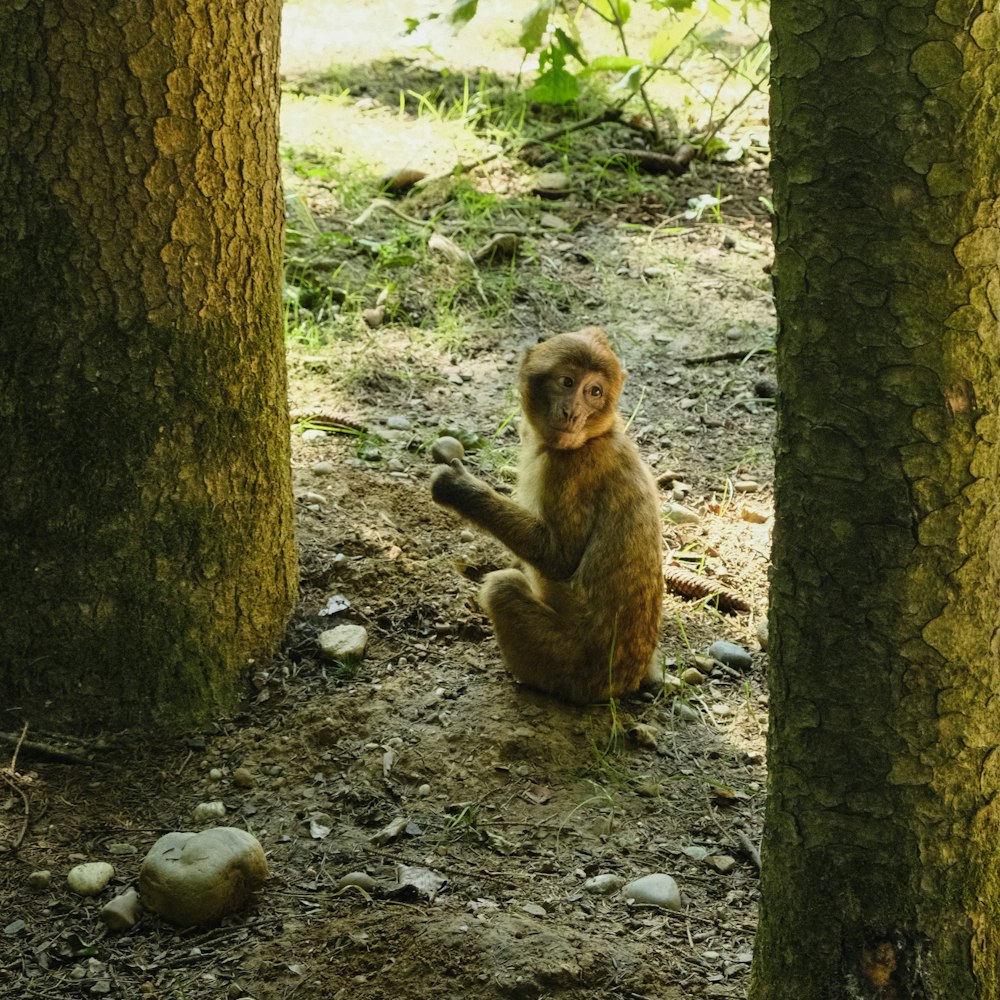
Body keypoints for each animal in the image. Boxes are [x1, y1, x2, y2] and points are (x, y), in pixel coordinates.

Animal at [430, 328, 664, 704]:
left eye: (594, 392)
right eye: (567, 382)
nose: (572, 413)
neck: (595, 436)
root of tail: (623, 684)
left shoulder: (568, 471)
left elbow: (559, 558)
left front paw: (460, 489)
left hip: (573, 667)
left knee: (501, 588)